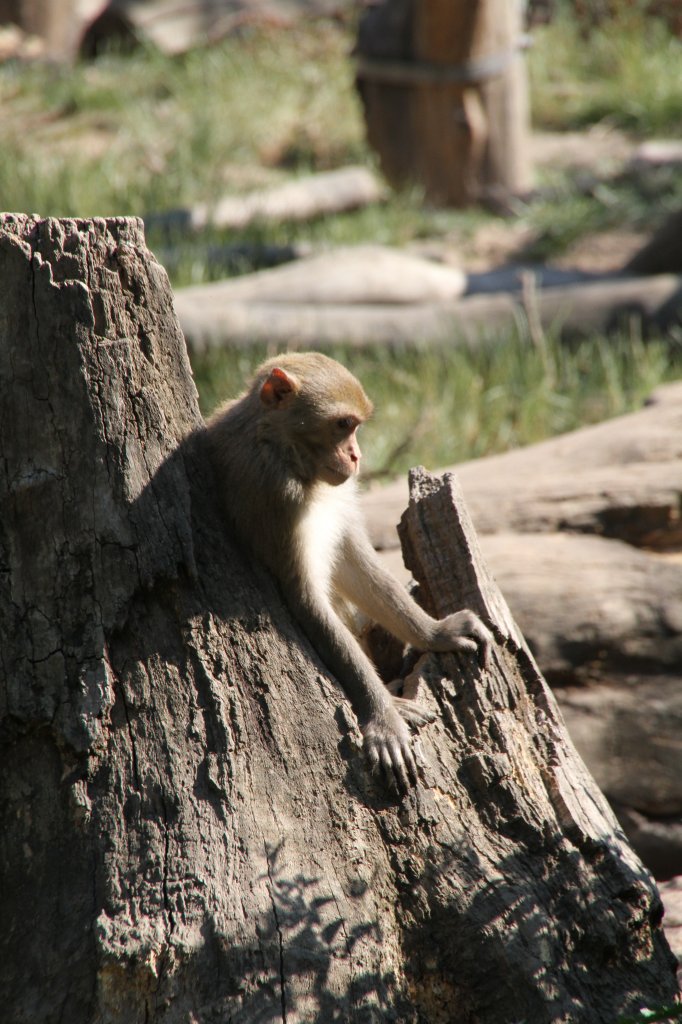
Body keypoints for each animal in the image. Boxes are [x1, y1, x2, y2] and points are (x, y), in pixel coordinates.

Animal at [204, 352, 491, 790]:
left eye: (355, 426)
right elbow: (307, 601)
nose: (356, 456)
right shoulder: (277, 496)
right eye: (342, 425)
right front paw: (384, 717)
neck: (282, 449)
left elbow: (353, 563)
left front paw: (437, 633)